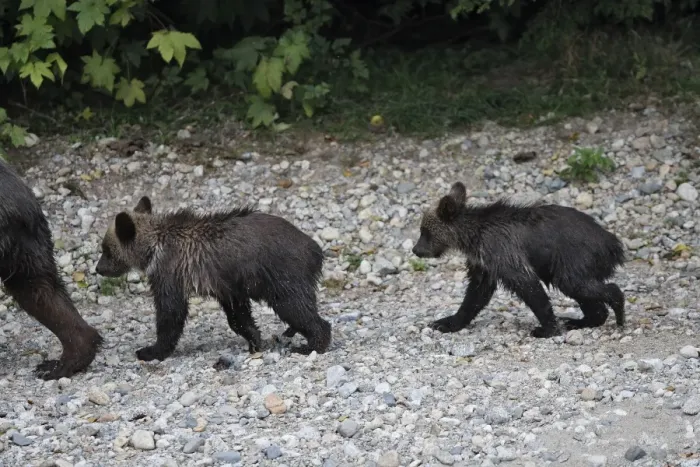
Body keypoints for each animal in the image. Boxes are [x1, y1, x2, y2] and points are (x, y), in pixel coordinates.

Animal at [94, 196, 332, 362]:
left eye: (106, 250)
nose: (98, 268)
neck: (153, 249)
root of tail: (315, 248)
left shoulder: (170, 272)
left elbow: (170, 312)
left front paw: (150, 350)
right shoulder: (228, 284)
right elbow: (238, 315)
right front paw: (254, 340)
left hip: (282, 273)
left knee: (295, 307)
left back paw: (312, 344)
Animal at [412, 181, 626, 338]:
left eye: (425, 231)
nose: (416, 250)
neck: (473, 237)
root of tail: (613, 243)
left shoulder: (502, 251)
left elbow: (528, 287)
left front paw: (546, 329)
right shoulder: (484, 263)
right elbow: (475, 295)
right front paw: (446, 322)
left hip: (574, 258)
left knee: (580, 285)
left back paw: (618, 313)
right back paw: (579, 320)